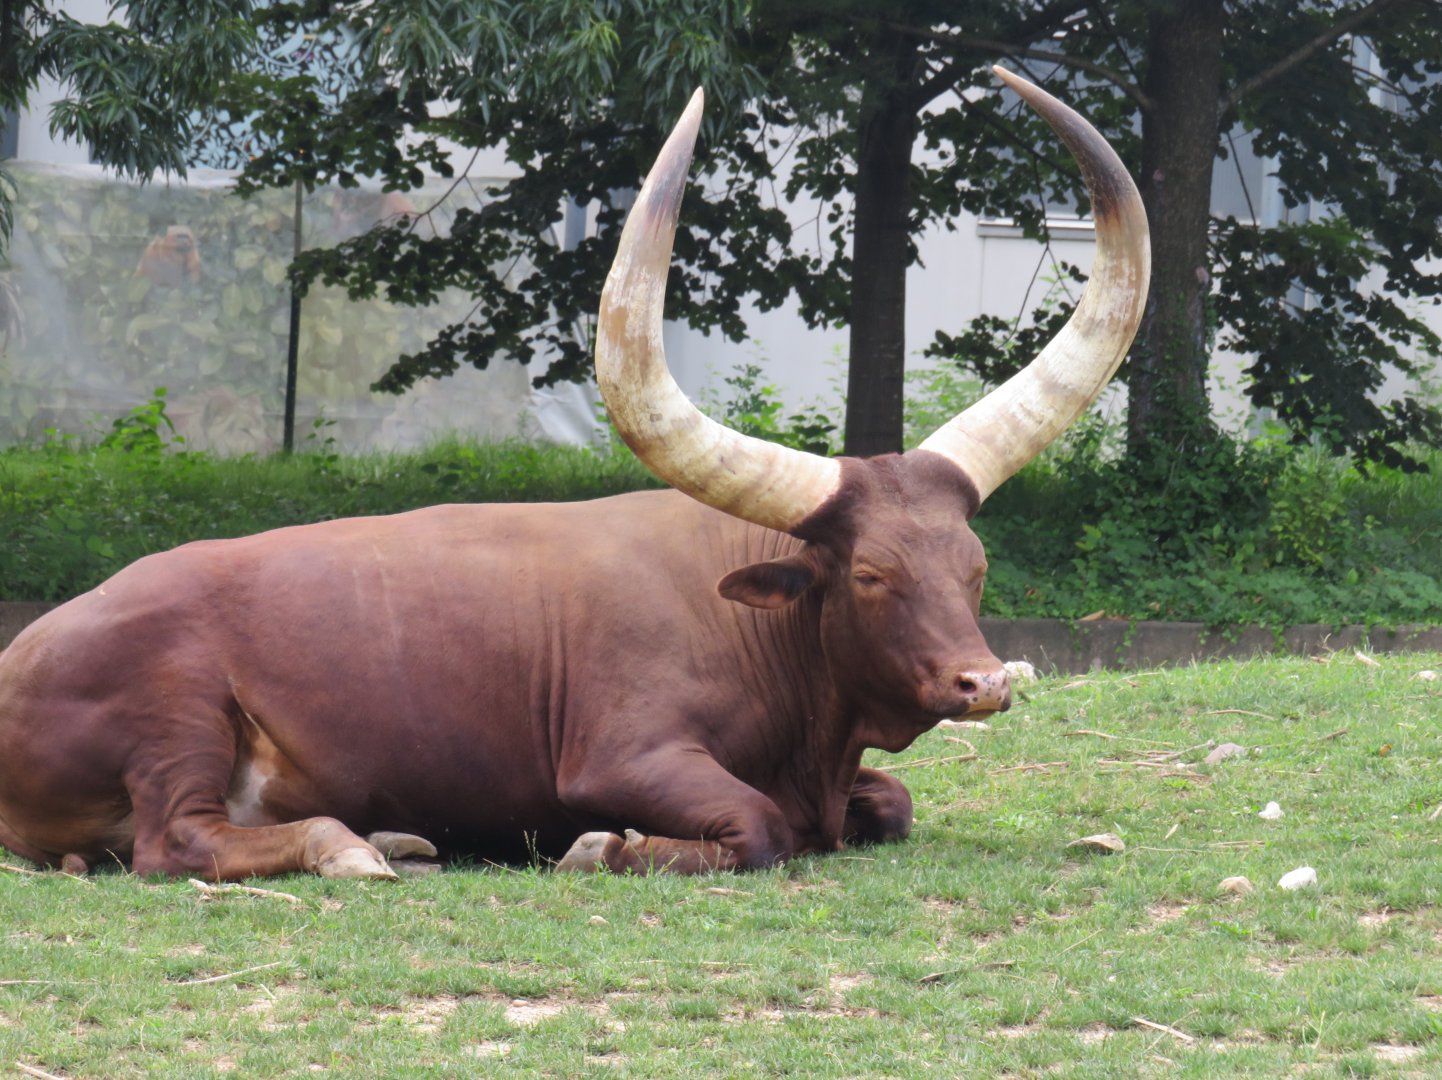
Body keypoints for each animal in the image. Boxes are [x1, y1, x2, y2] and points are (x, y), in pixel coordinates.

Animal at [0, 69, 1148, 881]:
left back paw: (399, 838)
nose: (982, 681)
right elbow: (760, 826)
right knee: (176, 842)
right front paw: (604, 846)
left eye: (974, 565)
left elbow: (889, 806)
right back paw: (354, 845)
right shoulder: (621, 756)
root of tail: (32, 645)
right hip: (176, 715)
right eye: (868, 575)